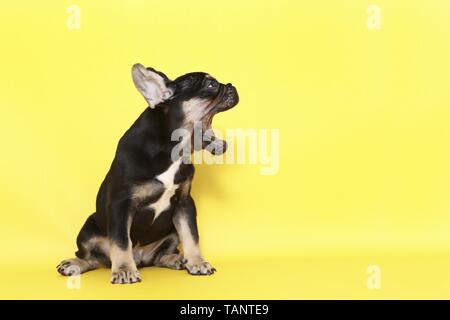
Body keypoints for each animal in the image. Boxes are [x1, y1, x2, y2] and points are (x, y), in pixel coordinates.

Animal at [57, 63, 239, 284]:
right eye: (211, 85)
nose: (231, 86)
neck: (173, 149)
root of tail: (140, 258)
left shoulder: (185, 203)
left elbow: (191, 235)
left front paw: (197, 262)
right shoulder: (120, 204)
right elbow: (121, 241)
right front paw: (124, 270)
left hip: (170, 232)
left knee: (158, 256)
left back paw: (177, 259)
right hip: (87, 230)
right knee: (93, 258)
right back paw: (74, 264)